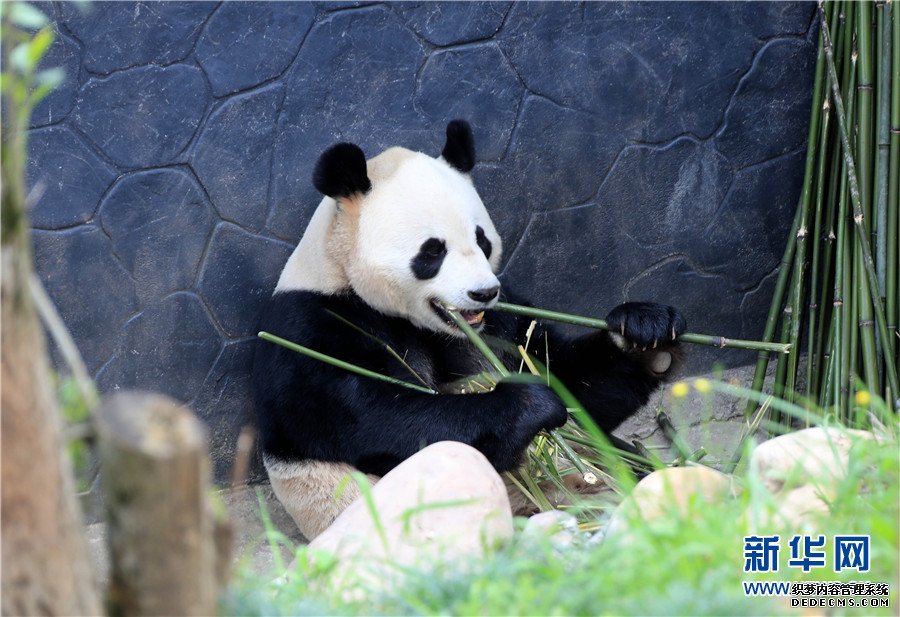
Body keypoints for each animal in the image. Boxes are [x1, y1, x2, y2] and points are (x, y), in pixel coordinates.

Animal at [250, 120, 684, 540]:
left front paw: (645, 332)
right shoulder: (313, 330)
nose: (483, 292)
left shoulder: (502, 320)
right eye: (432, 251)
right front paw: (529, 404)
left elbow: (570, 383)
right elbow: (380, 423)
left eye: (482, 240)